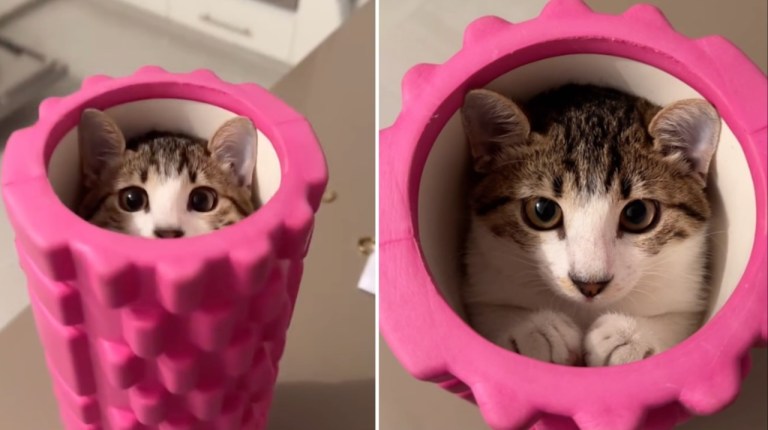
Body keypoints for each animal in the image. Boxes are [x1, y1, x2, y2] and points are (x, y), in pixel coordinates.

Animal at [462, 84, 720, 366]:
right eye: (543, 210)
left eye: (638, 214)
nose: (589, 284)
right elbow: (487, 314)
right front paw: (533, 330)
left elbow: (682, 324)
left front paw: (631, 337)